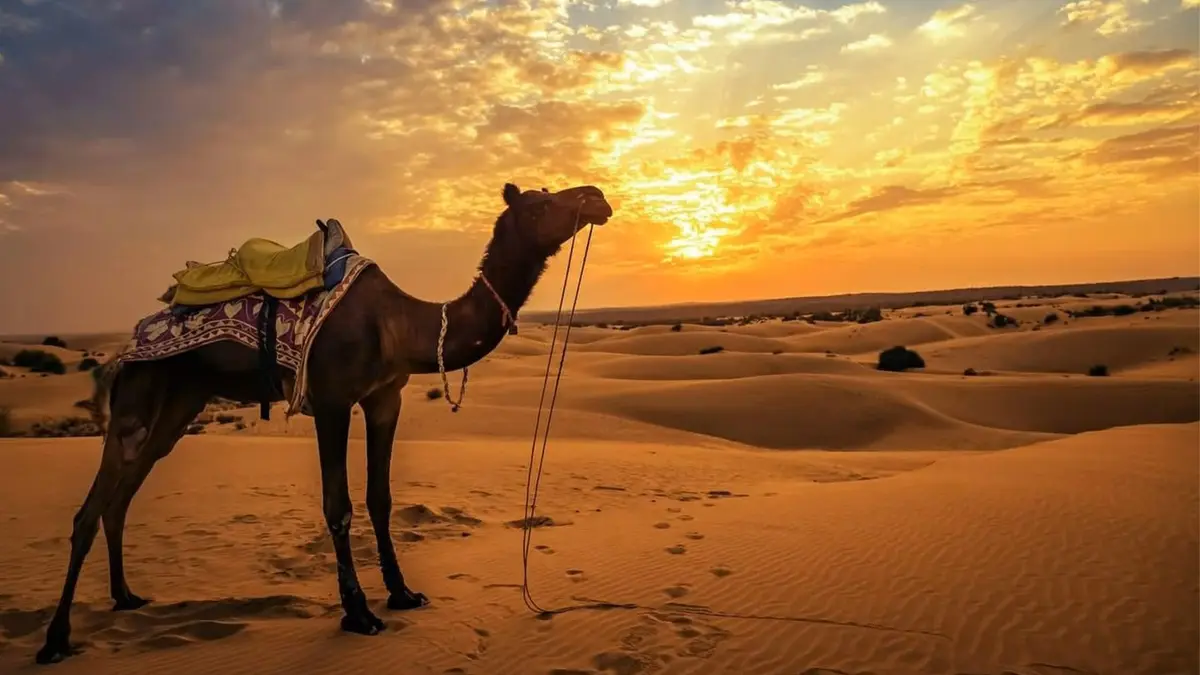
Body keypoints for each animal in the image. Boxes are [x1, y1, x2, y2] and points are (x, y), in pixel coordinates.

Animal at [35, 183, 613, 664]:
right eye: (538, 205)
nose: (598, 197)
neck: (404, 323)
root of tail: (137, 332)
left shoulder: (385, 398)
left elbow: (380, 497)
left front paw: (403, 593)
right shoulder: (333, 400)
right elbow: (339, 506)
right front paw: (358, 612)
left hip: (181, 401)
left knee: (122, 497)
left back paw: (125, 596)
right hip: (140, 391)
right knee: (90, 509)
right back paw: (56, 640)